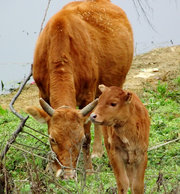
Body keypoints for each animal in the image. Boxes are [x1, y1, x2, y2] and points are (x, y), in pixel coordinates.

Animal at [26, 0, 134, 179]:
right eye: (52, 139)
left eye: (80, 139)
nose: (68, 174)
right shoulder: (43, 92)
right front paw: (50, 168)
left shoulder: (87, 95)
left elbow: (89, 134)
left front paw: (89, 171)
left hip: (116, 82)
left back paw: (100, 150)